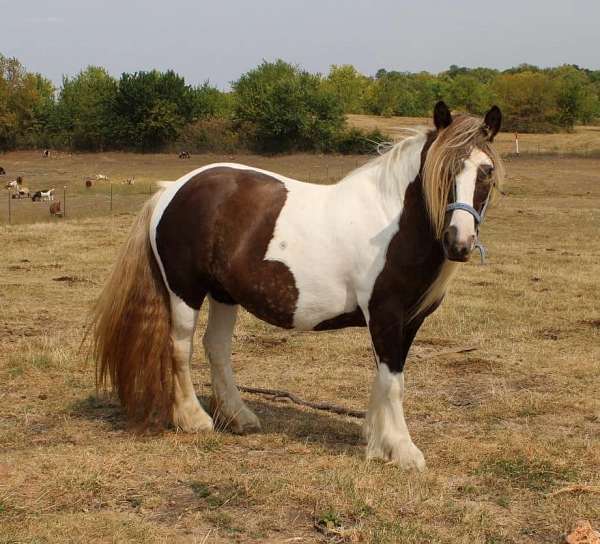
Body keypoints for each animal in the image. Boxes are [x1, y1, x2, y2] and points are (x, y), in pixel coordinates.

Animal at [88, 103, 502, 472]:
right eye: (444, 170)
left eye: (487, 171)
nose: (459, 242)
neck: (392, 221)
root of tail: (172, 189)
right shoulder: (386, 315)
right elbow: (393, 381)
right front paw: (402, 450)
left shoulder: (408, 321)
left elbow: (385, 376)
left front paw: (375, 440)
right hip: (184, 290)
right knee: (180, 348)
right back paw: (194, 419)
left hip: (224, 294)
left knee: (216, 347)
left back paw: (239, 417)